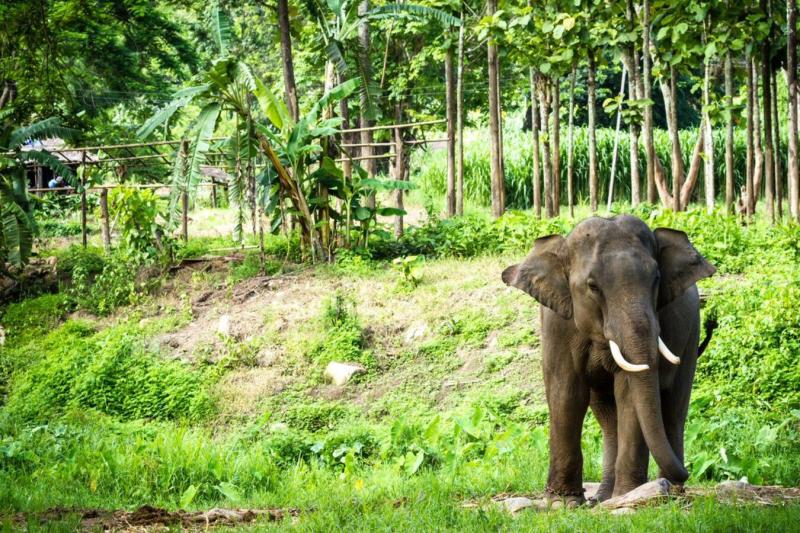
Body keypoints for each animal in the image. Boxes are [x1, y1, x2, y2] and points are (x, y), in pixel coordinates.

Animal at [502, 215, 716, 506]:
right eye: (592, 286)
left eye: (656, 279)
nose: (690, 472)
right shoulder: (557, 323)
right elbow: (566, 393)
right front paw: (563, 503)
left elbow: (628, 393)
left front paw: (628, 495)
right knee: (607, 414)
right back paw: (605, 497)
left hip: (692, 332)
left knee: (673, 407)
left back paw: (667, 491)